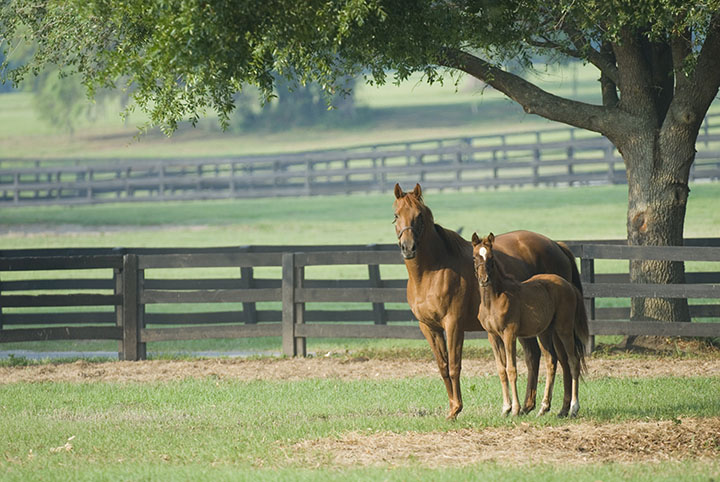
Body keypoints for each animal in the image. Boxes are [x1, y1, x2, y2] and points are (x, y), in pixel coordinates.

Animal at [472, 233, 584, 418]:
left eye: (491, 257)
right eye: (475, 257)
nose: (484, 280)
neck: (494, 299)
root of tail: (568, 285)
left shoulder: (509, 333)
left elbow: (511, 369)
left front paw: (515, 409)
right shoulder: (492, 336)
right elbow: (501, 370)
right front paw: (505, 408)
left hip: (564, 329)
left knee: (573, 360)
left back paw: (573, 408)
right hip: (545, 333)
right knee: (552, 362)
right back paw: (545, 408)